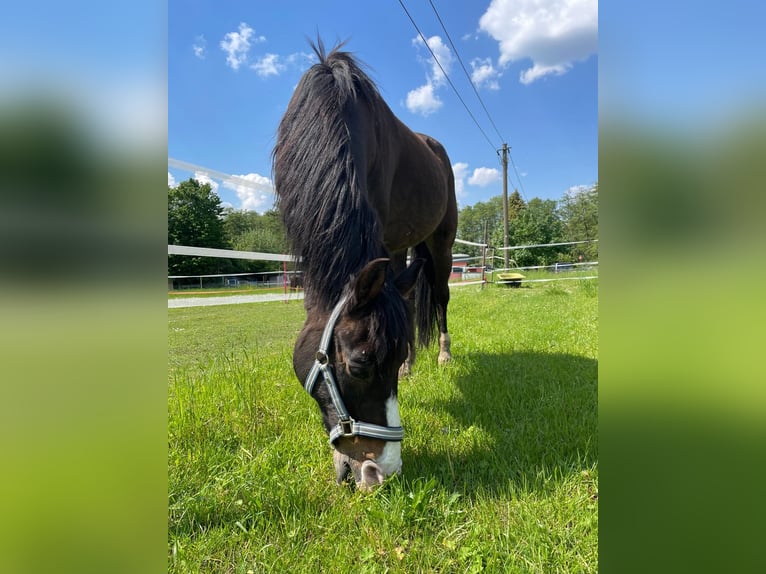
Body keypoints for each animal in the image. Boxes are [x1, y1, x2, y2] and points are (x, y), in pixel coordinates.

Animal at [272, 40, 460, 490]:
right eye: (359, 365)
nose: (382, 471)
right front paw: (407, 363)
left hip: (439, 245)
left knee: (441, 297)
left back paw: (443, 354)